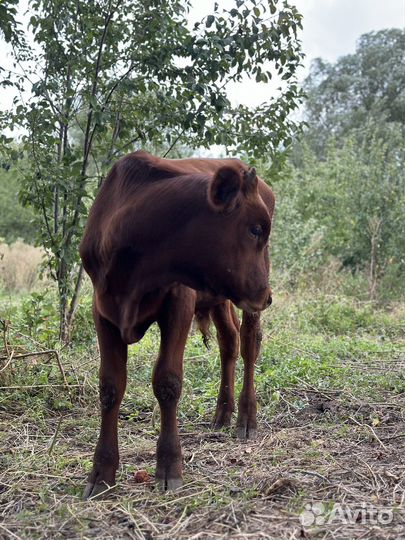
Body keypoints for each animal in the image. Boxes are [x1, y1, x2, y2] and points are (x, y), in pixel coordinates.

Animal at [79, 151, 274, 498]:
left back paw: (246, 417)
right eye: (254, 230)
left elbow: (167, 381)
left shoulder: (179, 302)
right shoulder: (102, 310)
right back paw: (223, 412)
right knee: (229, 343)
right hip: (221, 296)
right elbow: (110, 386)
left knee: (250, 344)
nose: (268, 295)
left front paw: (169, 465)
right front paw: (101, 472)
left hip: (244, 299)